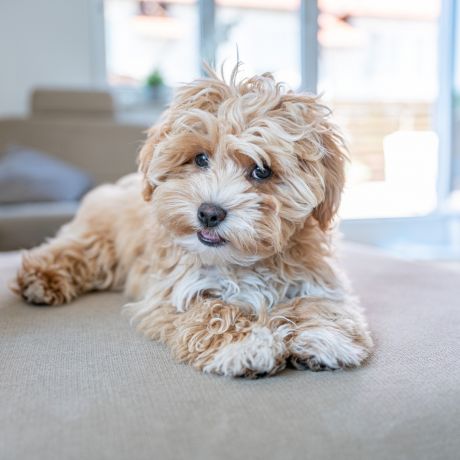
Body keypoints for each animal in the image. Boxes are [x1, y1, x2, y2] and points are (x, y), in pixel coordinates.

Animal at [14, 67, 372, 378]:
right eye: (200, 159)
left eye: (261, 170)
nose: (209, 213)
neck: (244, 262)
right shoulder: (177, 290)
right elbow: (213, 312)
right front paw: (247, 344)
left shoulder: (317, 278)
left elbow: (323, 304)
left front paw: (327, 336)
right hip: (103, 236)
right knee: (75, 249)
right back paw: (39, 279)